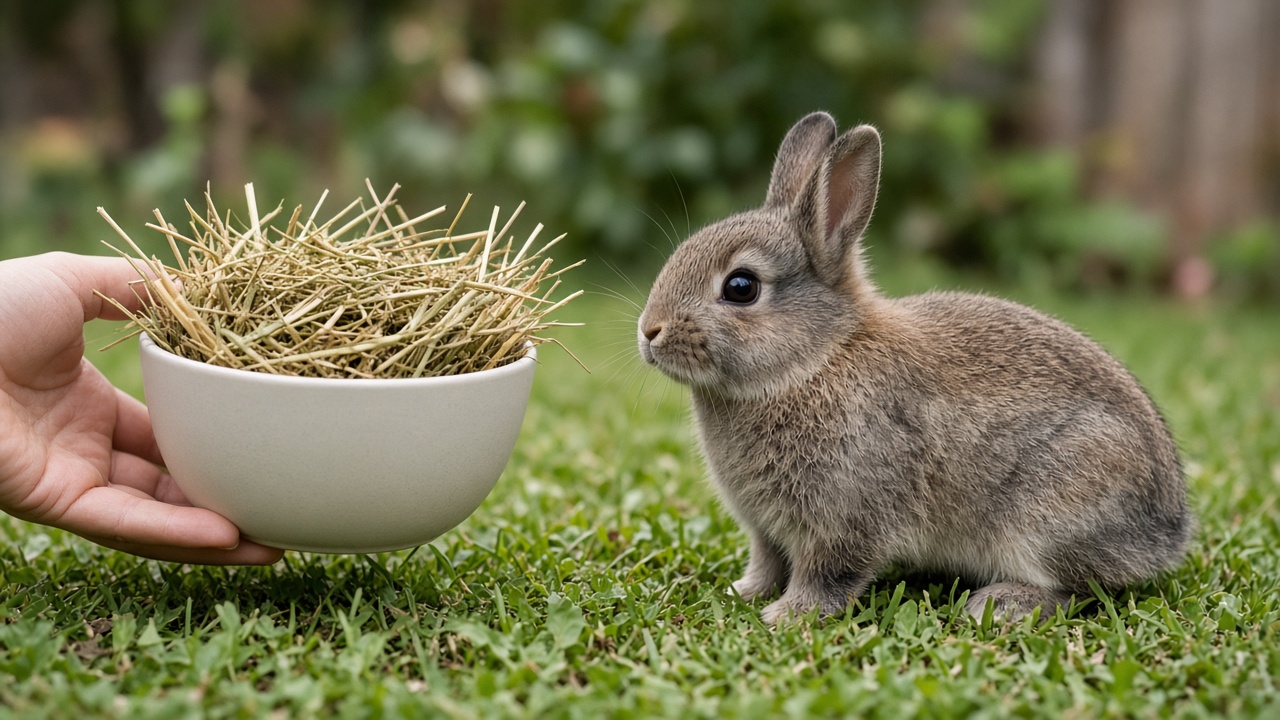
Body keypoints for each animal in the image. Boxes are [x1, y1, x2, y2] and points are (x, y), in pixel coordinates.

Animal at [637, 112, 1192, 624]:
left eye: (741, 287)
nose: (649, 331)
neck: (815, 360)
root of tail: (1169, 530)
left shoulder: (847, 516)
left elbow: (827, 575)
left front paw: (788, 616)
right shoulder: (766, 529)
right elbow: (767, 562)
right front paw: (744, 594)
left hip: (1050, 513)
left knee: (1081, 589)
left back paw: (1000, 603)